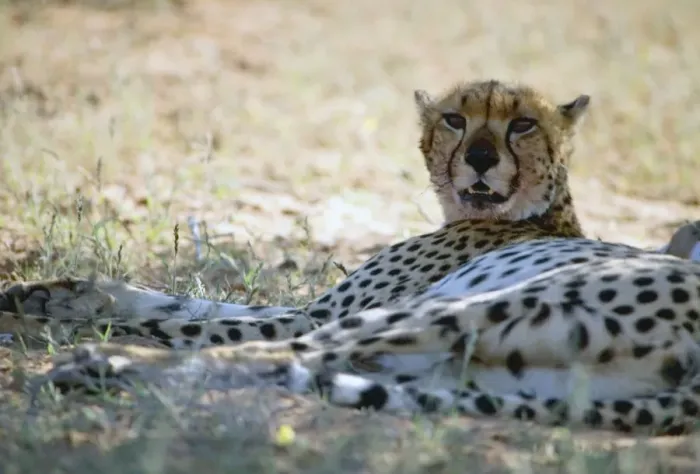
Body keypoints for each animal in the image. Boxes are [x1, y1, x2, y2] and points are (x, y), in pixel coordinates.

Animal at [3, 79, 700, 435]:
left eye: (521, 125)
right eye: (456, 119)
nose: (479, 158)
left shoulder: (318, 313)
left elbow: (192, 323)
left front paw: (40, 322)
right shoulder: (314, 307)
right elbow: (184, 303)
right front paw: (48, 292)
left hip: (460, 312)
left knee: (267, 355)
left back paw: (98, 363)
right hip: (460, 368)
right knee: (295, 368)